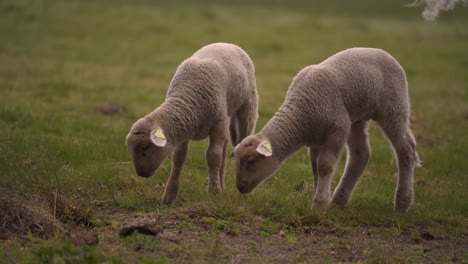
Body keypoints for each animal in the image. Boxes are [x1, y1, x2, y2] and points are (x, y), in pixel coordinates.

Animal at [126, 42, 258, 204]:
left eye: (145, 147)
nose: (140, 173)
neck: (188, 99)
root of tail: (227, 43)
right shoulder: (183, 130)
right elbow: (178, 157)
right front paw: (169, 195)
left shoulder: (217, 125)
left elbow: (213, 156)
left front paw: (213, 191)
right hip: (226, 114)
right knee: (224, 147)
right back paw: (222, 184)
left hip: (247, 106)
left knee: (242, 138)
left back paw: (243, 194)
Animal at [230, 48, 420, 212]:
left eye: (251, 161)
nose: (240, 187)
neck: (301, 112)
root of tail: (382, 52)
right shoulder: (316, 140)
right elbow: (315, 168)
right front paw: (318, 196)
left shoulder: (337, 130)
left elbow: (324, 167)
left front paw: (320, 203)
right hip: (356, 117)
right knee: (361, 154)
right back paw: (339, 200)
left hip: (394, 107)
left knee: (406, 150)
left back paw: (403, 203)